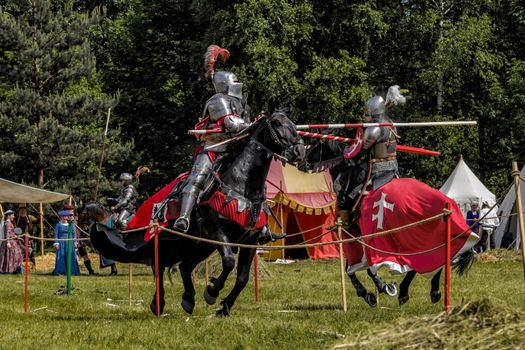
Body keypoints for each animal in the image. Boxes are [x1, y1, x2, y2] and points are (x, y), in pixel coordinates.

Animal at [80, 110, 304, 316]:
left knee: (184, 267)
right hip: (171, 242)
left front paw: (224, 307)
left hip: (197, 246)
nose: (300, 150)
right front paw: (212, 292)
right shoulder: (218, 232)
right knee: (159, 267)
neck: (243, 185)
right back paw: (159, 304)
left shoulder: (250, 240)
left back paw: (188, 299)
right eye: (277, 123)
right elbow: (229, 262)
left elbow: (242, 277)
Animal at [300, 138, 472, 308]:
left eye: (314, 146)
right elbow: (352, 268)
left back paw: (407, 292)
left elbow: (361, 269)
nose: (302, 162)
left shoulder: (359, 235)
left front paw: (380, 289)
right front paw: (371, 294)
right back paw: (429, 291)